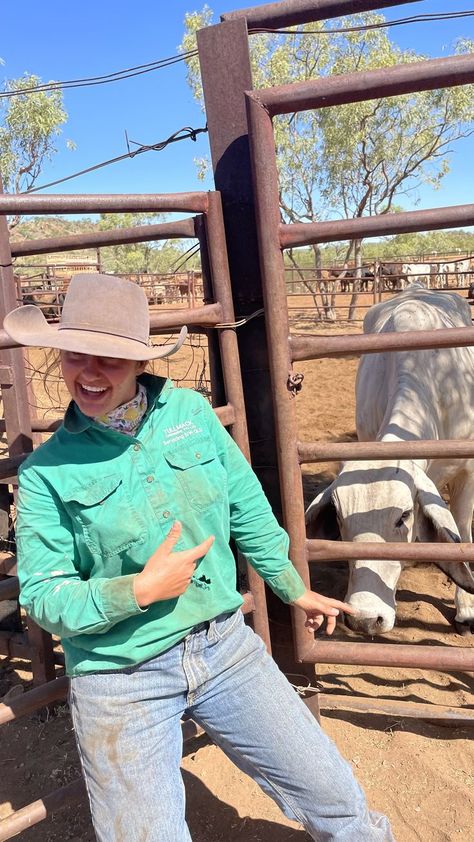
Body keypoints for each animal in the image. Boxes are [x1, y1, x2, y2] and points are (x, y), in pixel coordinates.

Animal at [306, 282, 474, 632]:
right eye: (339, 518)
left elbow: (463, 533)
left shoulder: (467, 470)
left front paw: (467, 610)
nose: (366, 619)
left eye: (403, 516)